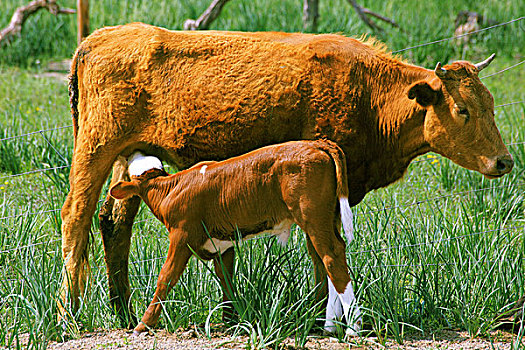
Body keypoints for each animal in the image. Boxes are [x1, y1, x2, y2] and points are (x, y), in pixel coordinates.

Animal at [109, 139, 362, 334]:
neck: (169, 188)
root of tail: (317, 143)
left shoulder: (181, 236)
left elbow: (166, 278)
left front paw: (142, 326)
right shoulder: (221, 245)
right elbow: (226, 279)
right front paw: (232, 321)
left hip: (313, 216)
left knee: (331, 256)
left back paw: (353, 328)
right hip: (326, 219)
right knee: (324, 260)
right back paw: (330, 327)